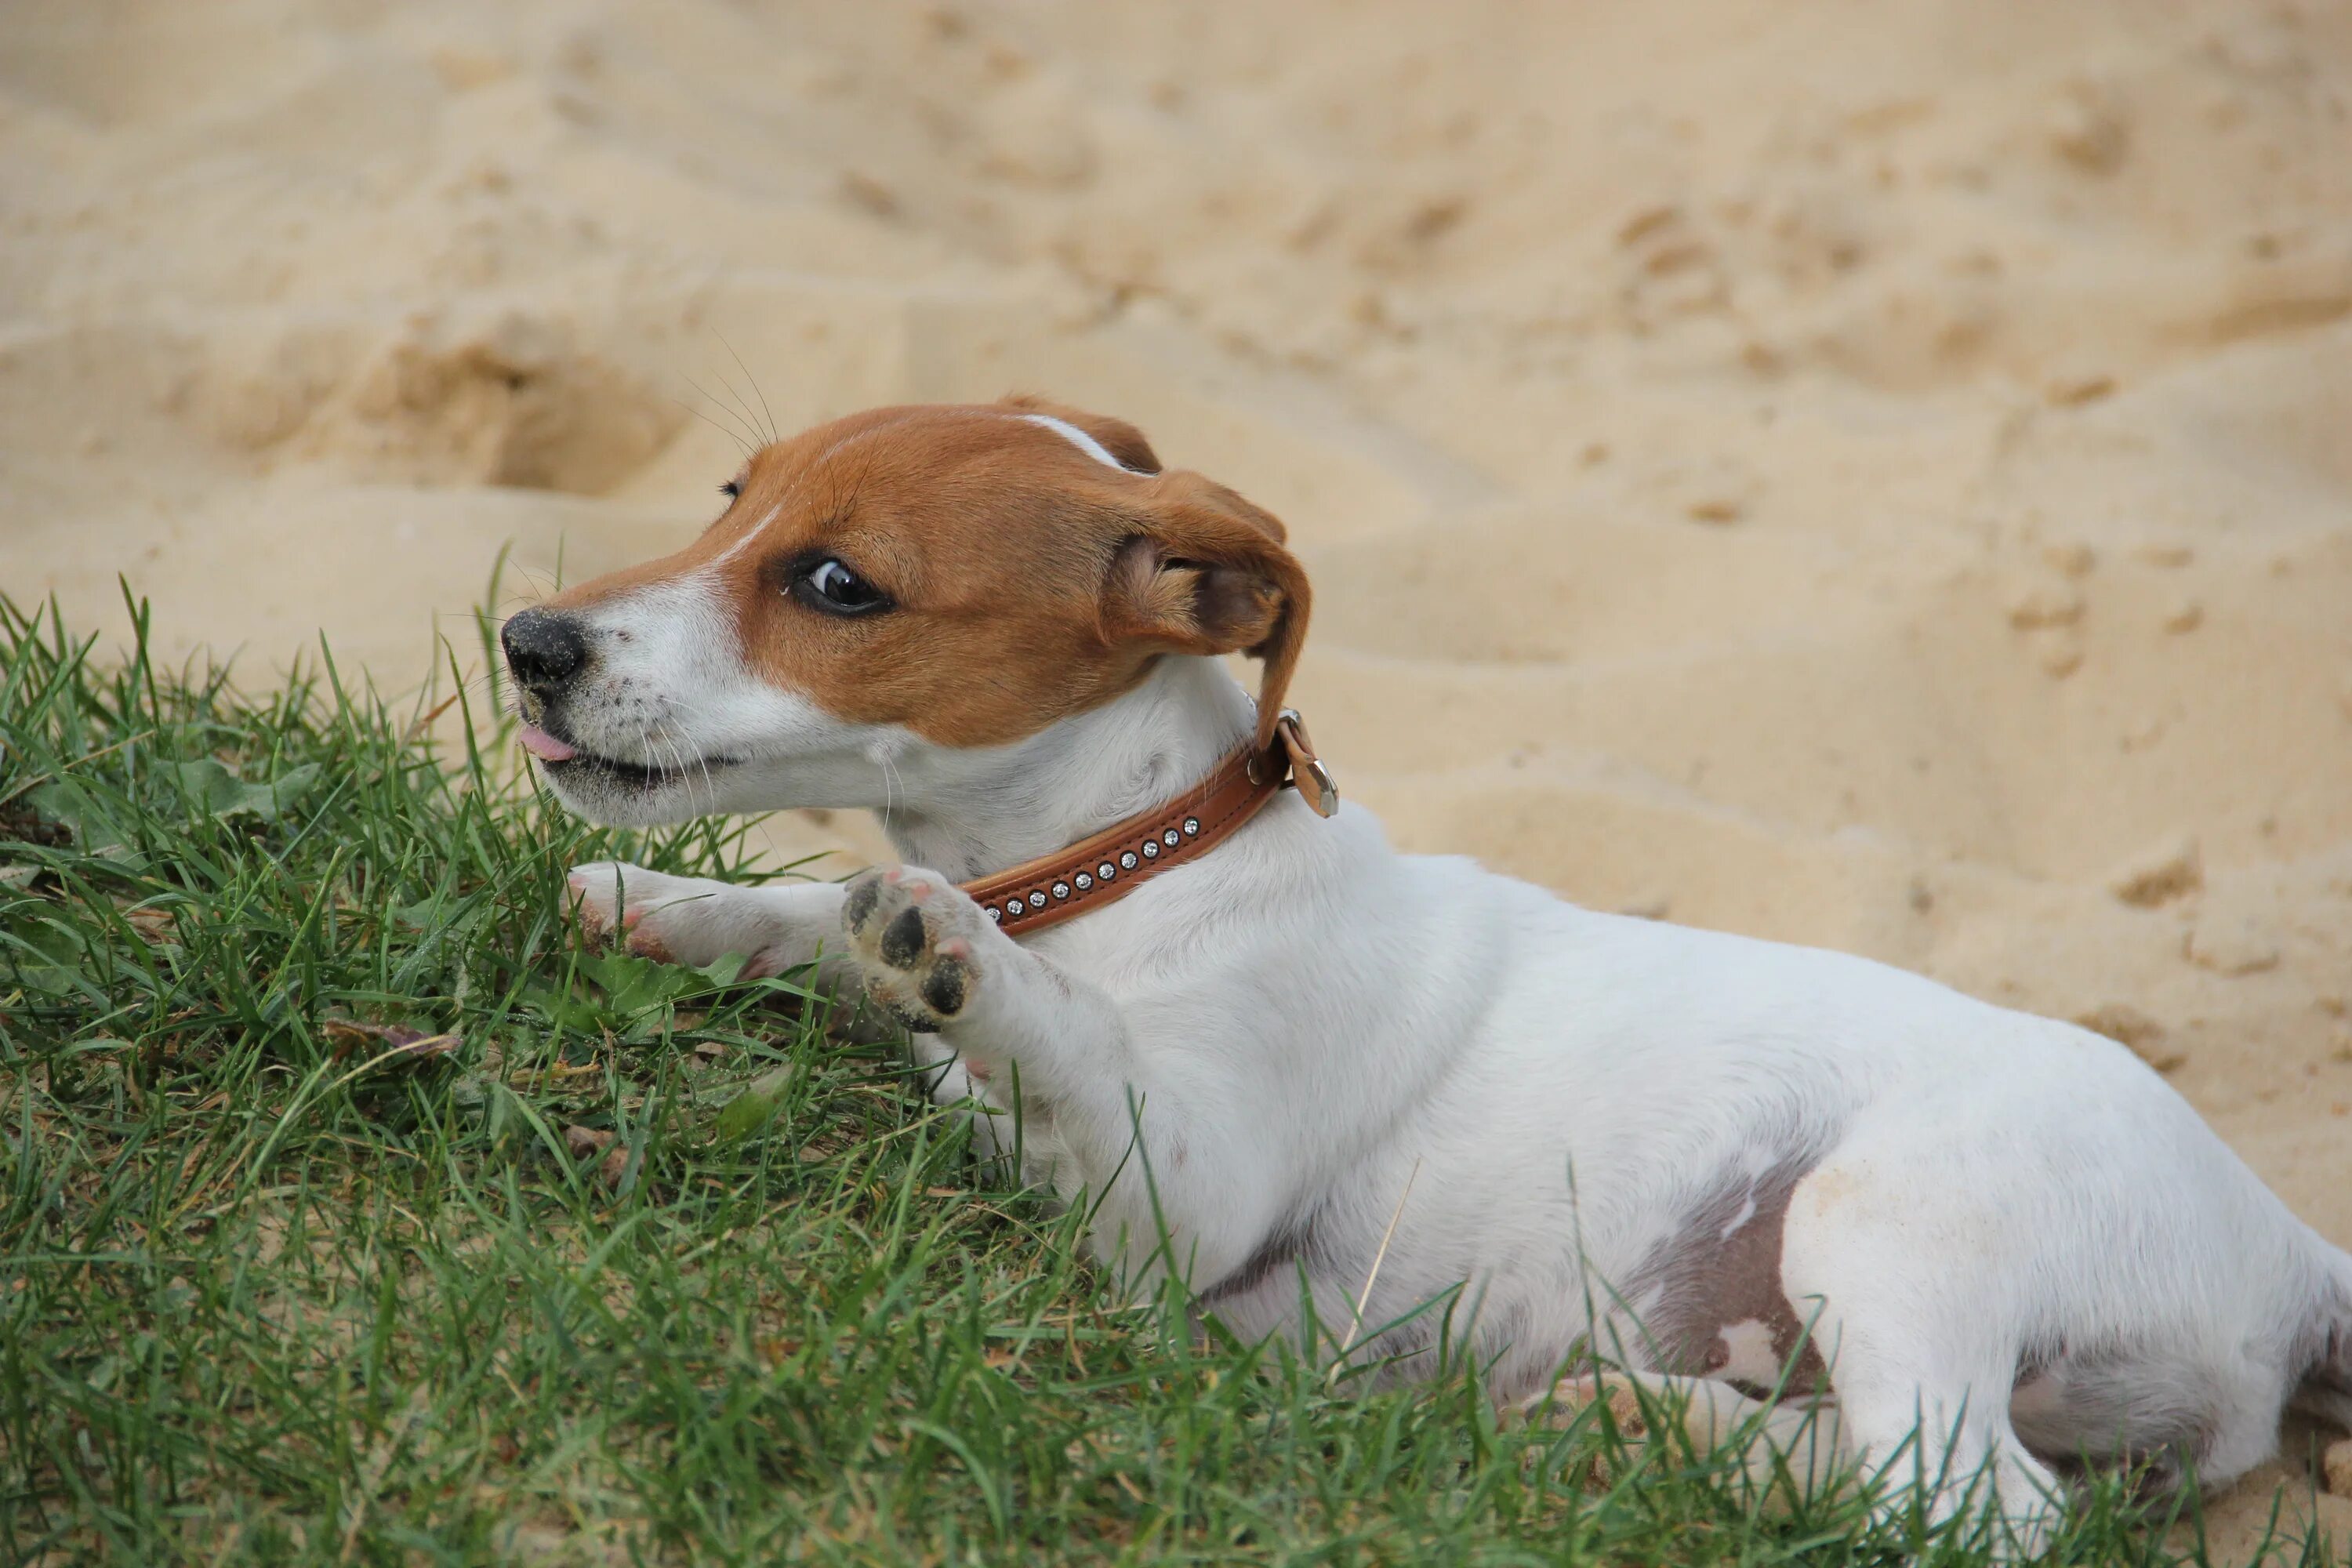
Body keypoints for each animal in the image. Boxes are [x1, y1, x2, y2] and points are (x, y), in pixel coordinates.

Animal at [501, 392, 2352, 1542]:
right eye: (730, 500)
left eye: (838, 583)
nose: (528, 642)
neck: (1138, 857)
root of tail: (2287, 1248)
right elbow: (812, 918)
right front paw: (660, 900)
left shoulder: (1178, 1196)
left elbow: (1052, 1031)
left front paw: (948, 955)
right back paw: (1656, 1426)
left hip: (1887, 1210)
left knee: (1978, 1505)